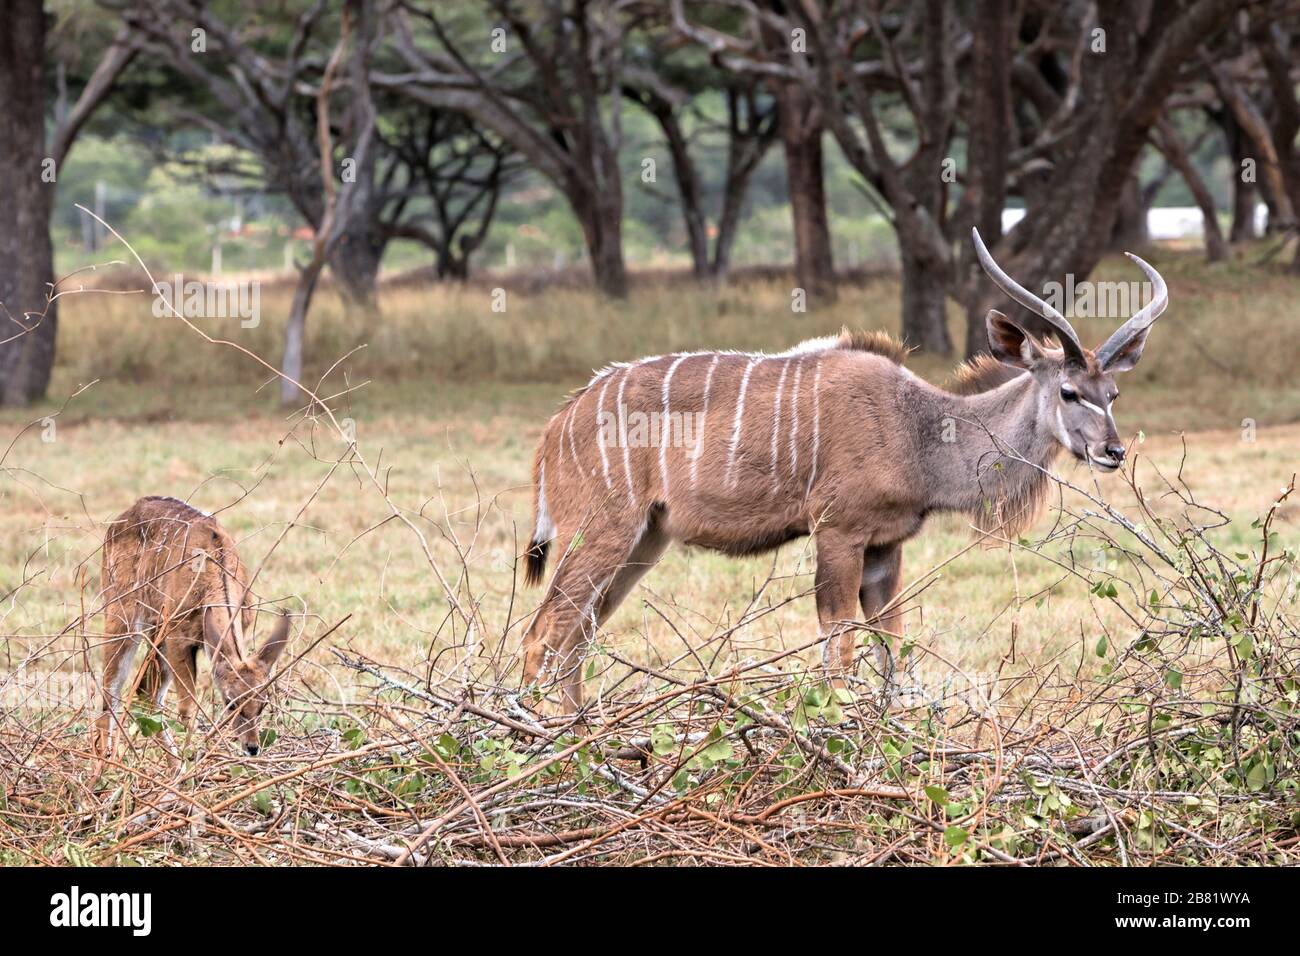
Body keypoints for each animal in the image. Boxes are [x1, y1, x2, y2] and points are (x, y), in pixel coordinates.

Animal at [94, 496, 292, 759]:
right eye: (230, 702)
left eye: (263, 704)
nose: (251, 747)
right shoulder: (178, 636)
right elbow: (188, 708)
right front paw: (191, 759)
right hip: (121, 610)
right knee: (111, 690)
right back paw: (106, 760)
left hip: (156, 630)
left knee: (145, 691)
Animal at [517, 230, 1170, 712]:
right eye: (1067, 391)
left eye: (1112, 393)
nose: (1113, 452)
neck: (917, 429)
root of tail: (557, 423)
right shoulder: (838, 532)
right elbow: (839, 646)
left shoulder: (885, 546)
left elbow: (892, 648)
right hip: (601, 531)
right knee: (543, 635)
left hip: (645, 539)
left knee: (574, 640)